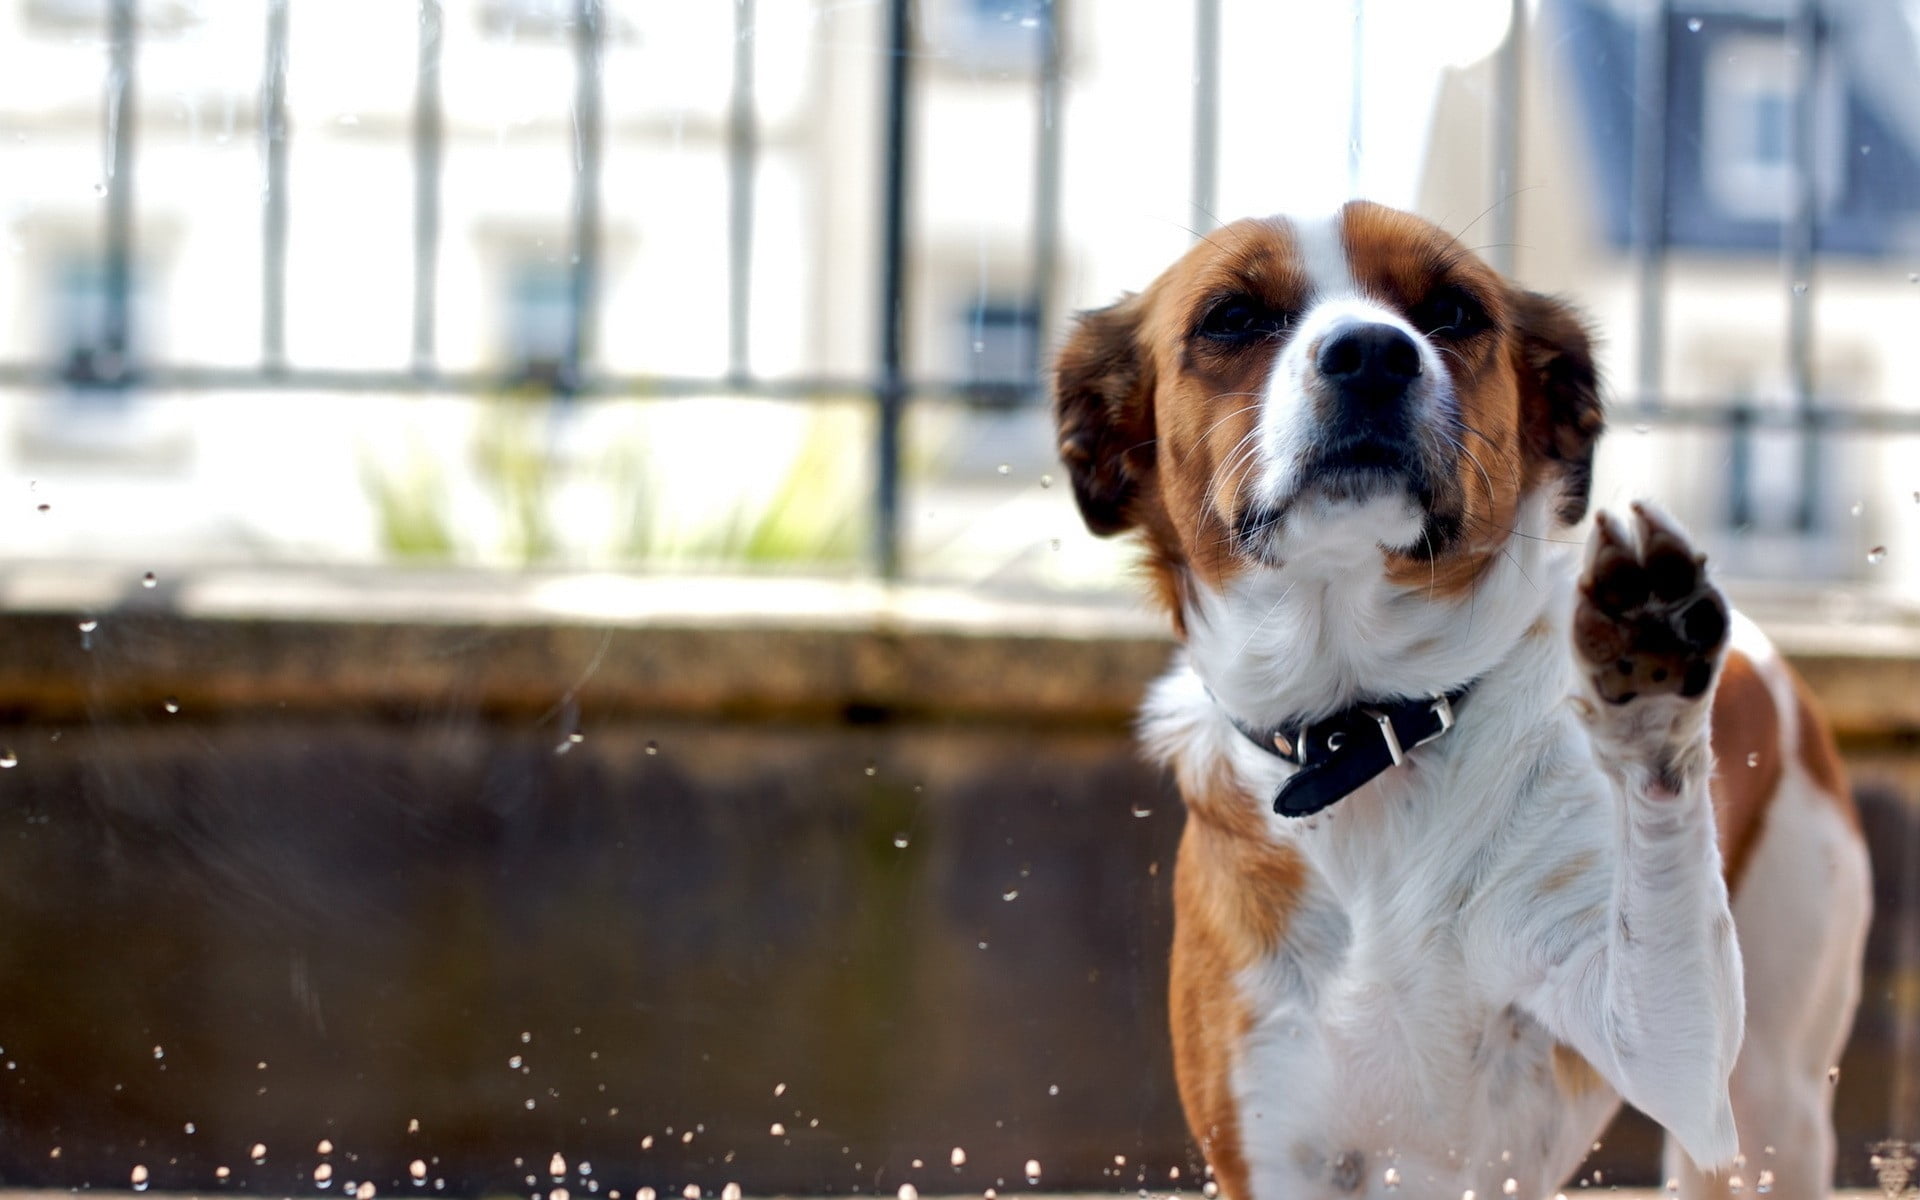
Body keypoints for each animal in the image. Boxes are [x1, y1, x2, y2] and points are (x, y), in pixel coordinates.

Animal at [1059, 201, 1866, 1190]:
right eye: (1232, 317)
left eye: (1451, 309)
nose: (1372, 351)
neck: (1368, 735)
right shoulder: (1270, 1141)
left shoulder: (1669, 1054)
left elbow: (1662, 899)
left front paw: (1650, 694)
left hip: (1771, 1104)